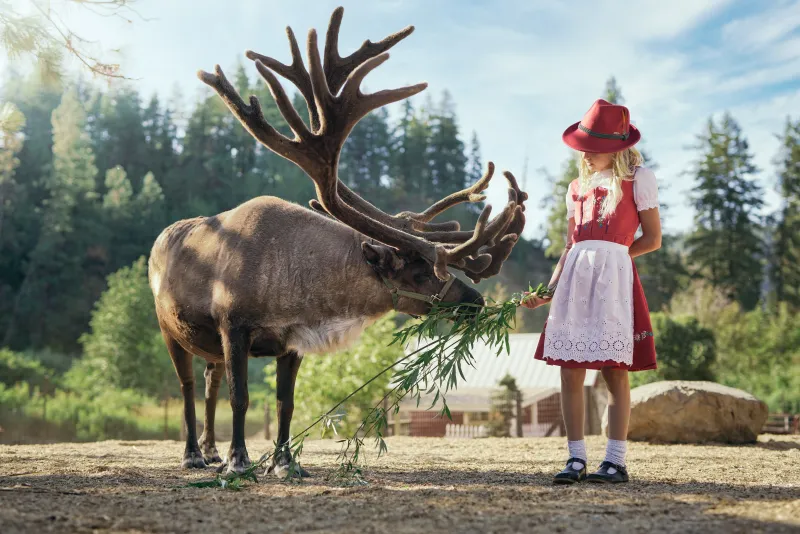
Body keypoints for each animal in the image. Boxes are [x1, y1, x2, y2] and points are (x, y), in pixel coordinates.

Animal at [148, 6, 528, 477]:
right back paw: (195, 454)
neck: (296, 284)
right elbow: (243, 397)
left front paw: (285, 463)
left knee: (208, 382)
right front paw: (240, 461)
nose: (475, 302)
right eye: (421, 273)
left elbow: (285, 403)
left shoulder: (290, 340)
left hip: (207, 344)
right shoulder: (233, 326)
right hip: (170, 328)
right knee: (186, 384)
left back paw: (211, 449)